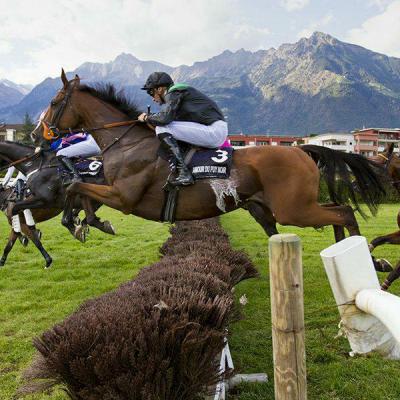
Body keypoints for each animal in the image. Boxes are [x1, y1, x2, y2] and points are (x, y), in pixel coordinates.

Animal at [33, 72, 384, 247]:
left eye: (54, 102)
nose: (37, 134)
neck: (127, 143)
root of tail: (300, 149)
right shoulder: (110, 188)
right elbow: (76, 186)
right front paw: (84, 222)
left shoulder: (124, 197)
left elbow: (76, 187)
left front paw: (83, 222)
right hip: (270, 209)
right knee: (337, 212)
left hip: (293, 209)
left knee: (343, 212)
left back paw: (367, 255)